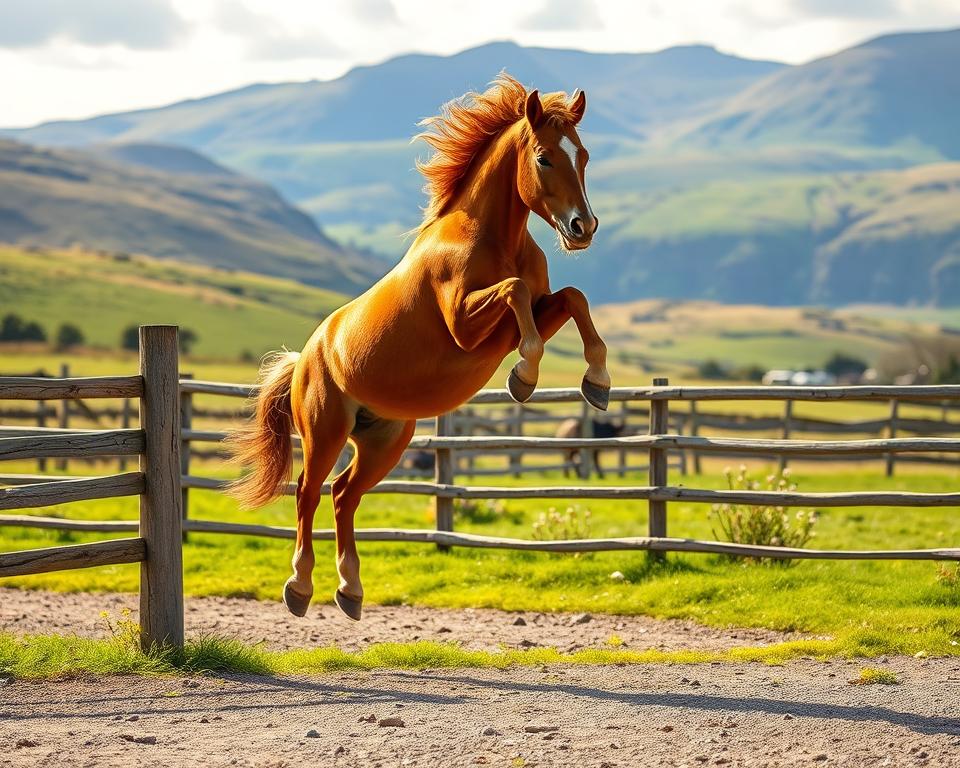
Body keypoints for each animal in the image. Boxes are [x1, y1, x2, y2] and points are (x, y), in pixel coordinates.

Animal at [229, 74, 609, 622]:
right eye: (544, 157)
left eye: (583, 155)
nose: (584, 228)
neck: (489, 238)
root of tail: (304, 359)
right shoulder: (467, 328)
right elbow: (515, 292)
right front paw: (525, 376)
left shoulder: (534, 314)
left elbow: (572, 297)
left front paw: (596, 382)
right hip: (325, 432)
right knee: (307, 493)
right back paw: (299, 587)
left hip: (385, 441)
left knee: (343, 496)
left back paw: (351, 590)